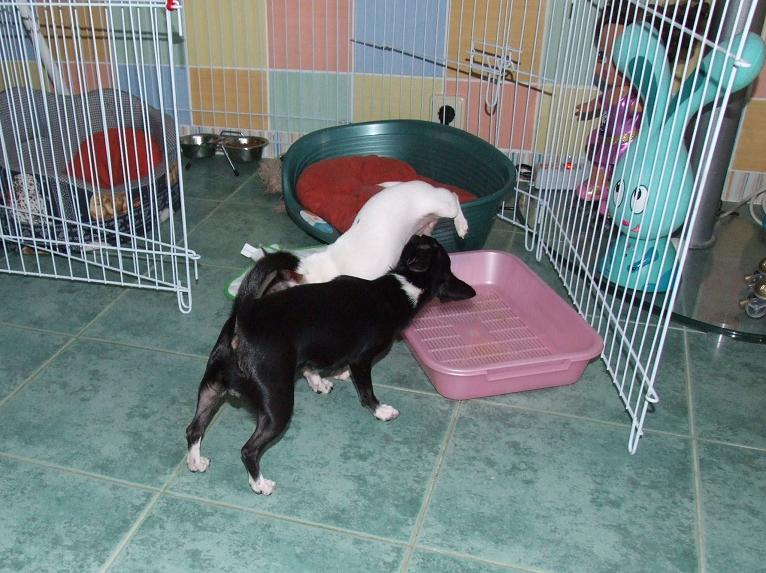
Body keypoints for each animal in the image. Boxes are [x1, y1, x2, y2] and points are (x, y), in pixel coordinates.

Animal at [186, 235, 475, 495]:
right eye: (431, 245)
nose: (420, 234)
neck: (401, 285)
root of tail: (244, 316)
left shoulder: (313, 352)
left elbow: (311, 367)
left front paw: (320, 381)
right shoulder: (362, 360)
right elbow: (367, 392)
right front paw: (380, 411)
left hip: (211, 388)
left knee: (193, 429)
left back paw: (195, 461)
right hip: (277, 405)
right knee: (249, 450)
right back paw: (260, 484)